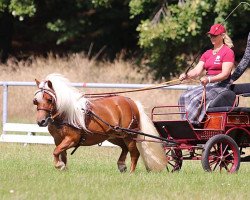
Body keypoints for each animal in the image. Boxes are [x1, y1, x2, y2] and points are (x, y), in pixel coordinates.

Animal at [32, 73, 166, 172]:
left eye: (49, 99)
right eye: (36, 101)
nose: (41, 121)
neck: (66, 114)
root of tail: (131, 102)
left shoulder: (72, 139)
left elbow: (56, 151)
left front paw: (59, 165)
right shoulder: (58, 140)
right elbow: (61, 154)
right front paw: (63, 168)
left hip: (129, 135)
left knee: (134, 153)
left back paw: (131, 173)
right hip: (114, 136)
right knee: (124, 148)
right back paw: (121, 165)